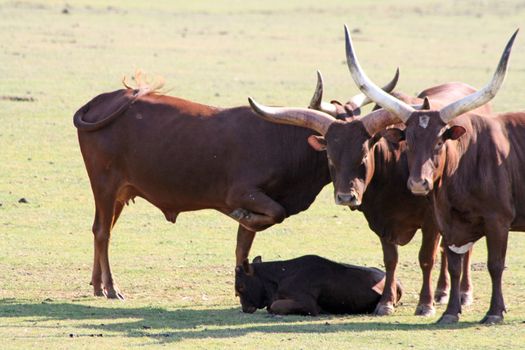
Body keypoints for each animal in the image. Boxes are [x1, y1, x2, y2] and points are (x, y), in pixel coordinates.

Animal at [71, 75, 396, 300]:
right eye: (330, 153)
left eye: (365, 152)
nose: (346, 196)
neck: (286, 141)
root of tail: (102, 100)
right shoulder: (242, 194)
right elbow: (273, 214)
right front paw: (243, 218)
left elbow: (244, 245)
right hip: (105, 185)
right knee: (102, 232)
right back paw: (111, 288)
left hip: (120, 193)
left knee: (101, 230)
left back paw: (98, 284)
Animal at [342, 25, 516, 326]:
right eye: (408, 142)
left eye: (439, 142)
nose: (418, 183)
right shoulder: (388, 223)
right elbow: (393, 259)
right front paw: (388, 303)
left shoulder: (446, 221)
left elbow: (433, 258)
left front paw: (429, 305)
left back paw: (457, 294)